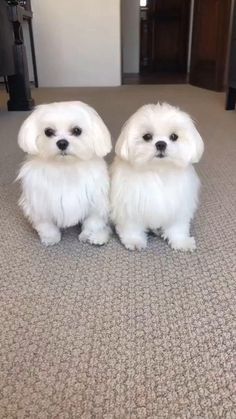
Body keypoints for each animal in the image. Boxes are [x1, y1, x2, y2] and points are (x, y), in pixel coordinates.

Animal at [17, 101, 111, 246]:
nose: (62, 142)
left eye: (77, 130)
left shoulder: (96, 201)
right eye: (48, 132)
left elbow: (93, 221)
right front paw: (51, 237)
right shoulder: (40, 202)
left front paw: (90, 235)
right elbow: (46, 224)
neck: (65, 166)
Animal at [109, 103, 204, 251]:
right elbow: (132, 226)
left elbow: (177, 227)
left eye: (174, 136)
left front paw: (181, 242)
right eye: (147, 136)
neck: (159, 170)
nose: (160, 144)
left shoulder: (178, 205)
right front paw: (134, 240)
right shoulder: (130, 205)